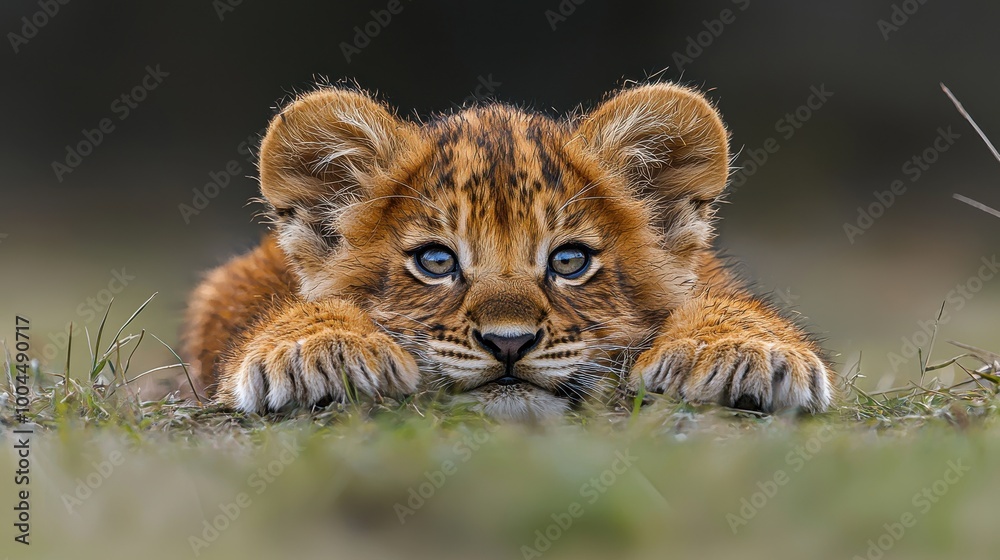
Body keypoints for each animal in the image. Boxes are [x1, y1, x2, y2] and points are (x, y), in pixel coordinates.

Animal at [181, 82, 835, 421]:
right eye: (436, 262)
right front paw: (319, 350)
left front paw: (746, 352)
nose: (509, 344)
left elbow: (727, 304)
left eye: (569, 262)